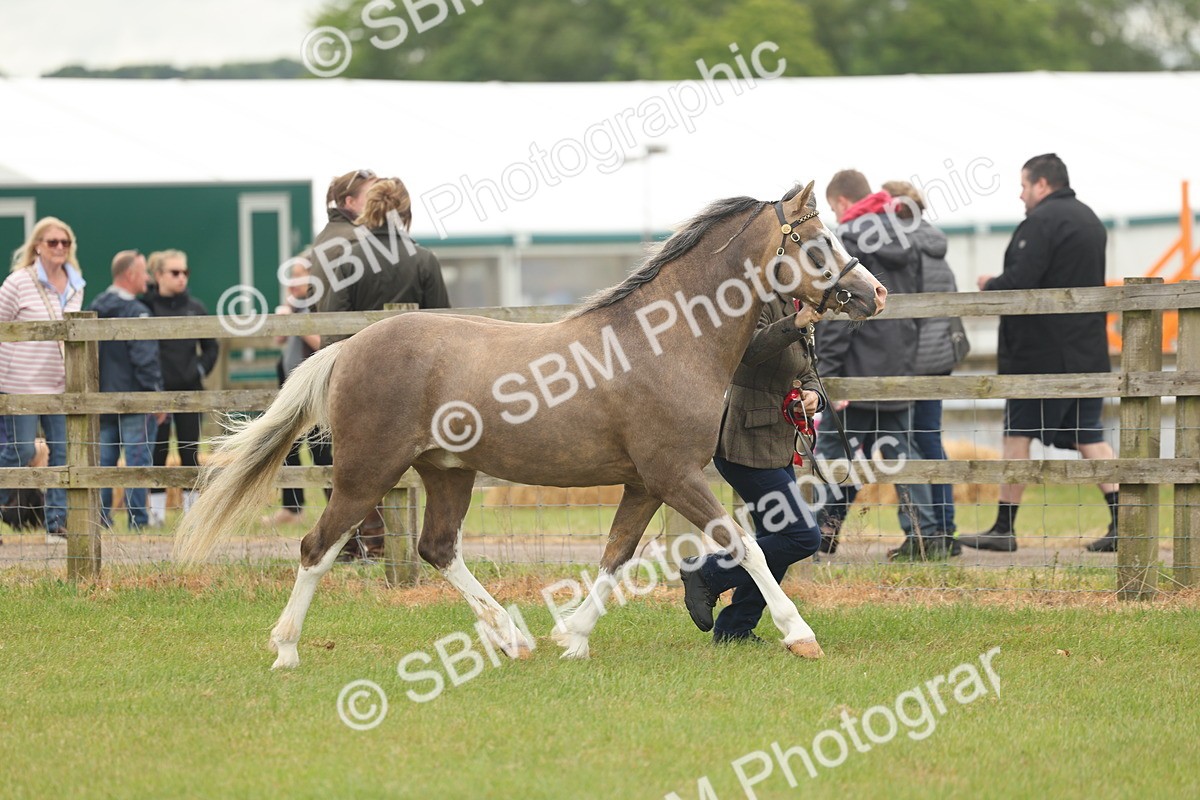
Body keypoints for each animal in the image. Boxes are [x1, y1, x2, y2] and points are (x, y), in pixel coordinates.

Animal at [173, 181, 886, 668]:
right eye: (817, 242)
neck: (666, 339)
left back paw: (512, 638)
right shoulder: (677, 474)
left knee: (438, 548)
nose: (873, 294)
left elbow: (616, 555)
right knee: (317, 548)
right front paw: (800, 635)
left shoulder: (645, 483)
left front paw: (571, 636)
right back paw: (287, 650)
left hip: (447, 474)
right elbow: (746, 547)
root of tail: (348, 349)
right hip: (365, 474)